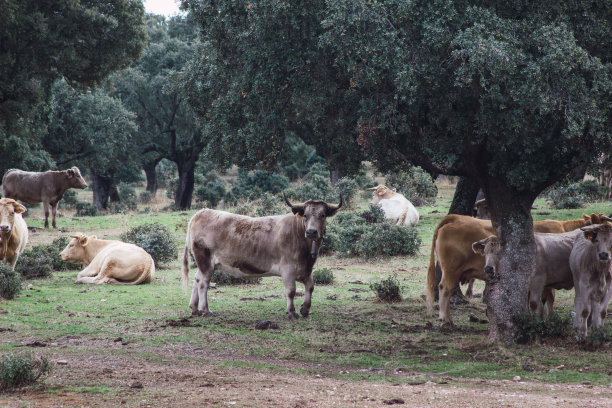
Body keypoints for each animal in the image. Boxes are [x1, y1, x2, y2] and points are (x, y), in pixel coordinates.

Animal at [182, 194, 344, 318]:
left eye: (322, 215)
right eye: (305, 215)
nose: (311, 232)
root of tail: (202, 212)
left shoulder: (305, 270)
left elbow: (310, 287)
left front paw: (305, 309)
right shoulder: (288, 269)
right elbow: (291, 291)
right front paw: (292, 312)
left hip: (207, 264)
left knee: (197, 279)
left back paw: (194, 309)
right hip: (204, 260)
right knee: (203, 283)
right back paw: (205, 310)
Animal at [428, 214, 600, 326]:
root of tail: (455, 217)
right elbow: (548, 299)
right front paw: (549, 318)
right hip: (451, 271)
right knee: (445, 289)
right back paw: (446, 319)